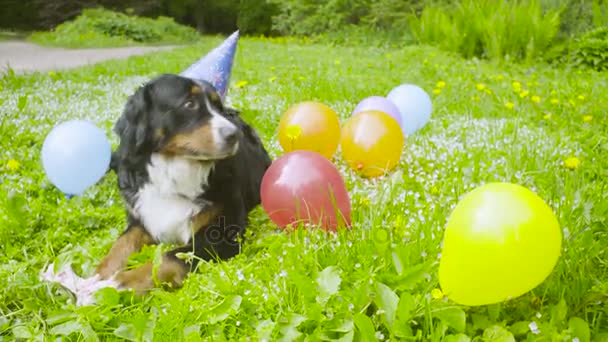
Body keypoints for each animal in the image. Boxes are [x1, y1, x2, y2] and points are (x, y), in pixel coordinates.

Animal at [95, 73, 270, 292]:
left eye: (218, 107)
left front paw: (124, 282)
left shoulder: (224, 233)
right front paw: (98, 275)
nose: (234, 134)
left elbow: (168, 257)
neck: (174, 172)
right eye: (189, 104)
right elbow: (121, 244)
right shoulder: (142, 217)